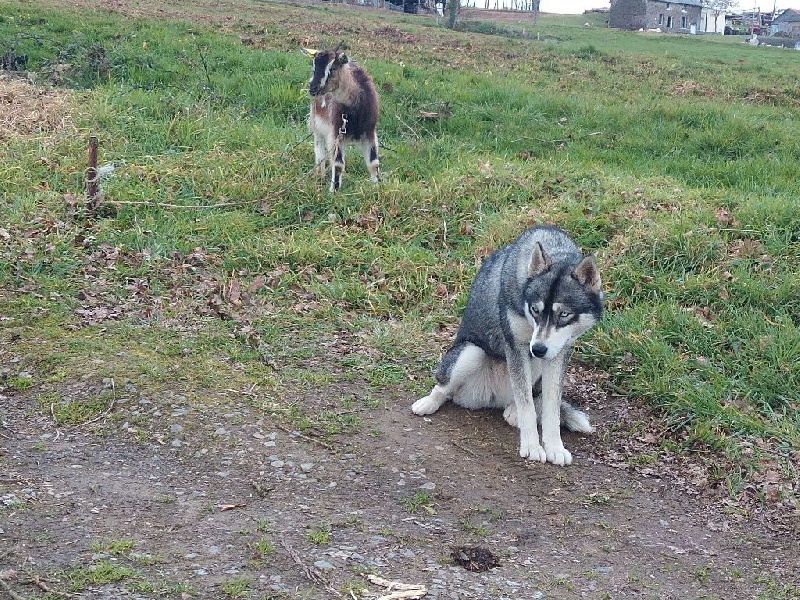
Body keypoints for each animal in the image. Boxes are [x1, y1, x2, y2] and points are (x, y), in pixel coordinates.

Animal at [304, 45, 382, 195]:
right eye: (313, 67)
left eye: (333, 68)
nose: (313, 88)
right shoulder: (336, 133)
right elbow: (338, 163)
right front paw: (333, 191)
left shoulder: (370, 132)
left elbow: (373, 162)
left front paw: (378, 186)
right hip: (317, 127)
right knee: (320, 151)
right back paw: (320, 175)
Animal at [412, 225, 600, 464]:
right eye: (535, 310)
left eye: (565, 314)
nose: (538, 349)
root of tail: (491, 398)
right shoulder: (517, 348)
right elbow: (527, 406)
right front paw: (531, 446)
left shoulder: (556, 354)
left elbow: (551, 408)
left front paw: (555, 448)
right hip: (471, 353)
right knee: (444, 388)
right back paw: (428, 402)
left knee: (525, 400)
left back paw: (512, 412)